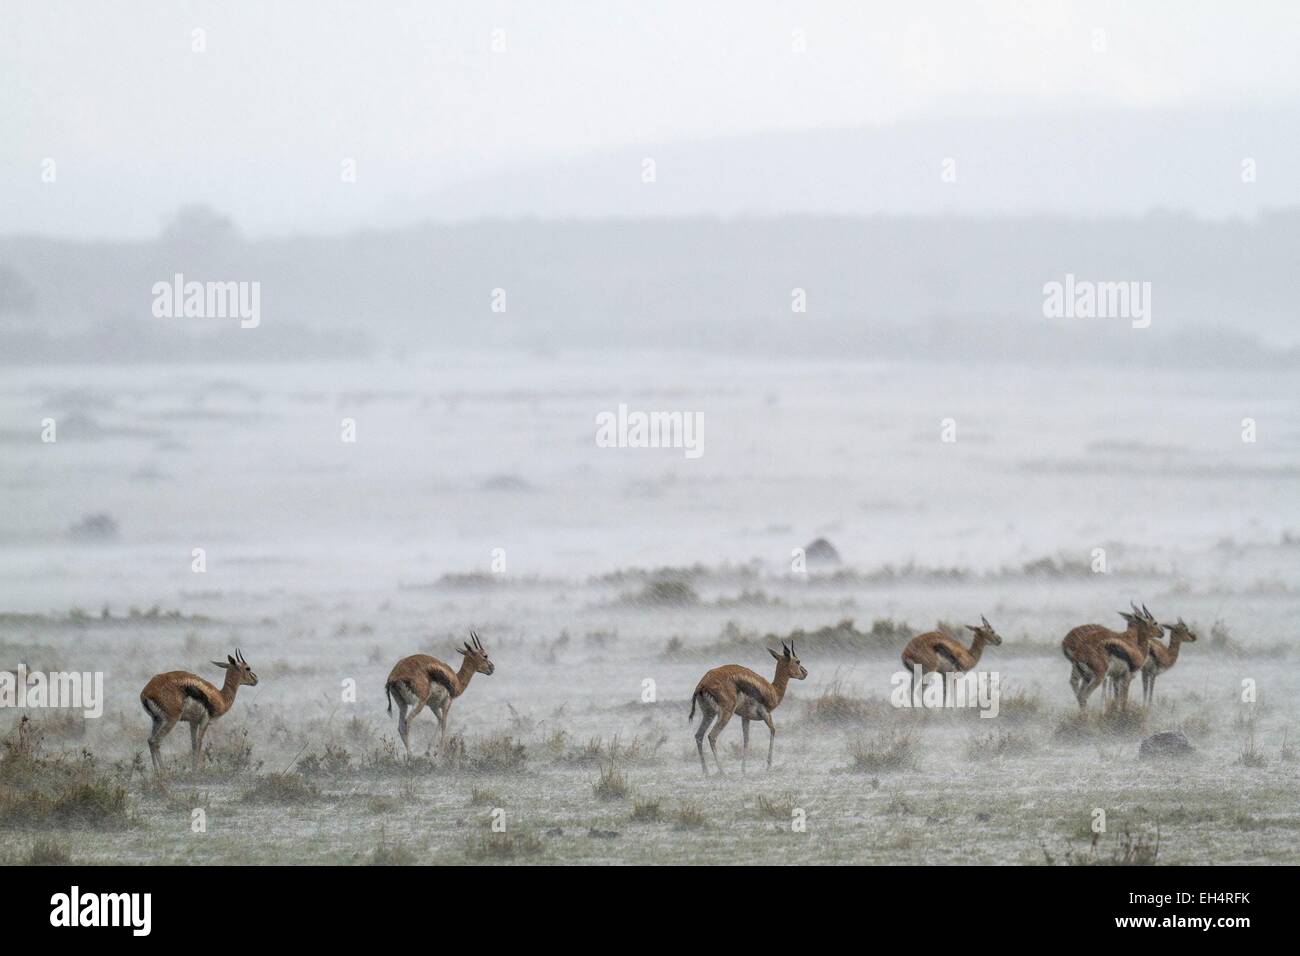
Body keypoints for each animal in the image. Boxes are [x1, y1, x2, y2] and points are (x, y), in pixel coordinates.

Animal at [688, 641, 807, 776]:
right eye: (797, 661)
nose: (805, 673)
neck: (773, 691)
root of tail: (702, 684)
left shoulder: (745, 717)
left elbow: (746, 740)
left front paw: (743, 769)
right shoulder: (766, 714)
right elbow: (773, 731)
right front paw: (768, 766)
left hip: (709, 714)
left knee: (699, 736)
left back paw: (706, 771)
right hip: (725, 713)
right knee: (711, 736)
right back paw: (722, 771)